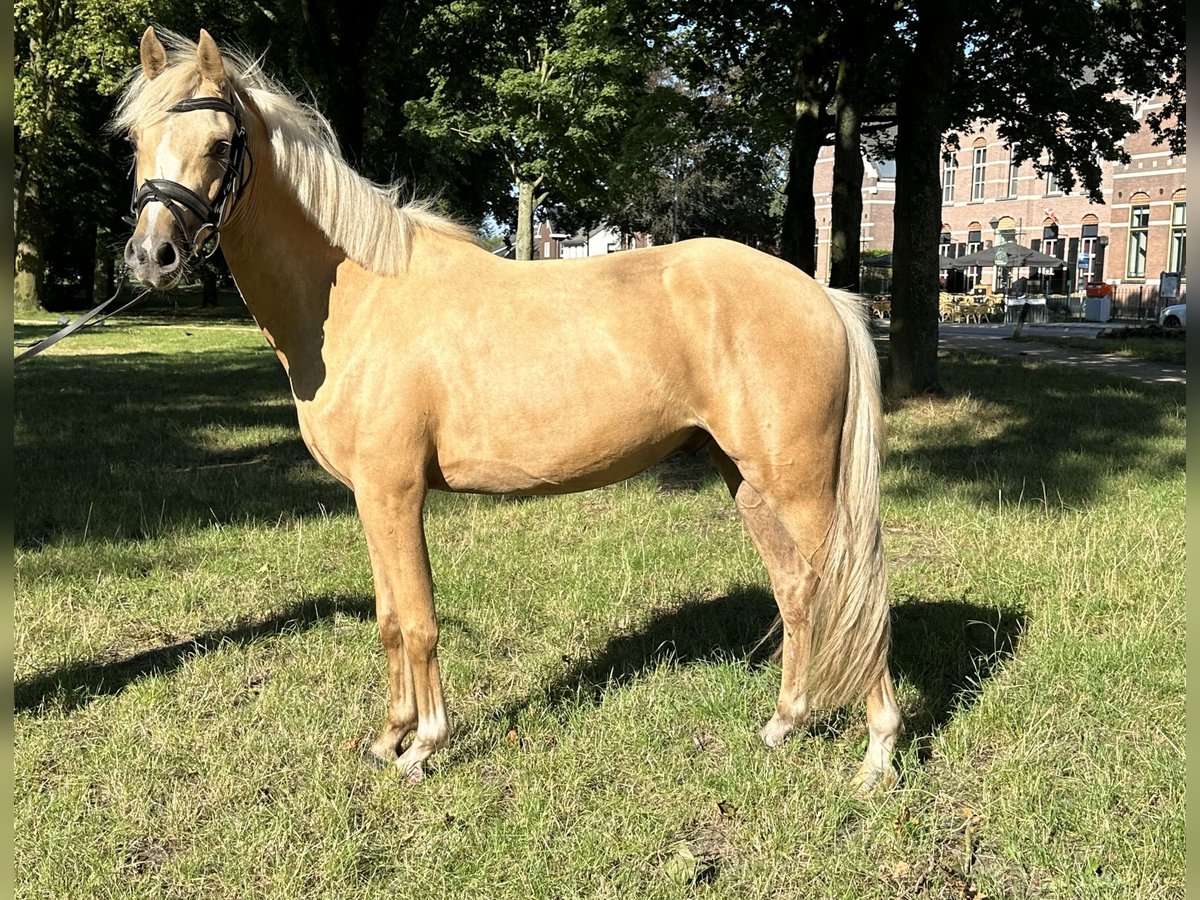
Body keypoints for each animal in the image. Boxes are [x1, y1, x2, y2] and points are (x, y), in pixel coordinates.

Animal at [117, 26, 902, 787]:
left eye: (221, 143)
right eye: (135, 140)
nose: (153, 256)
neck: (356, 299)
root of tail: (821, 294)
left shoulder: (395, 492)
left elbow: (420, 620)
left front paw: (425, 746)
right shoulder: (369, 496)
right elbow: (389, 619)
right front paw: (388, 737)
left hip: (802, 488)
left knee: (855, 593)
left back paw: (877, 755)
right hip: (746, 478)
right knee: (798, 588)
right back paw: (784, 723)